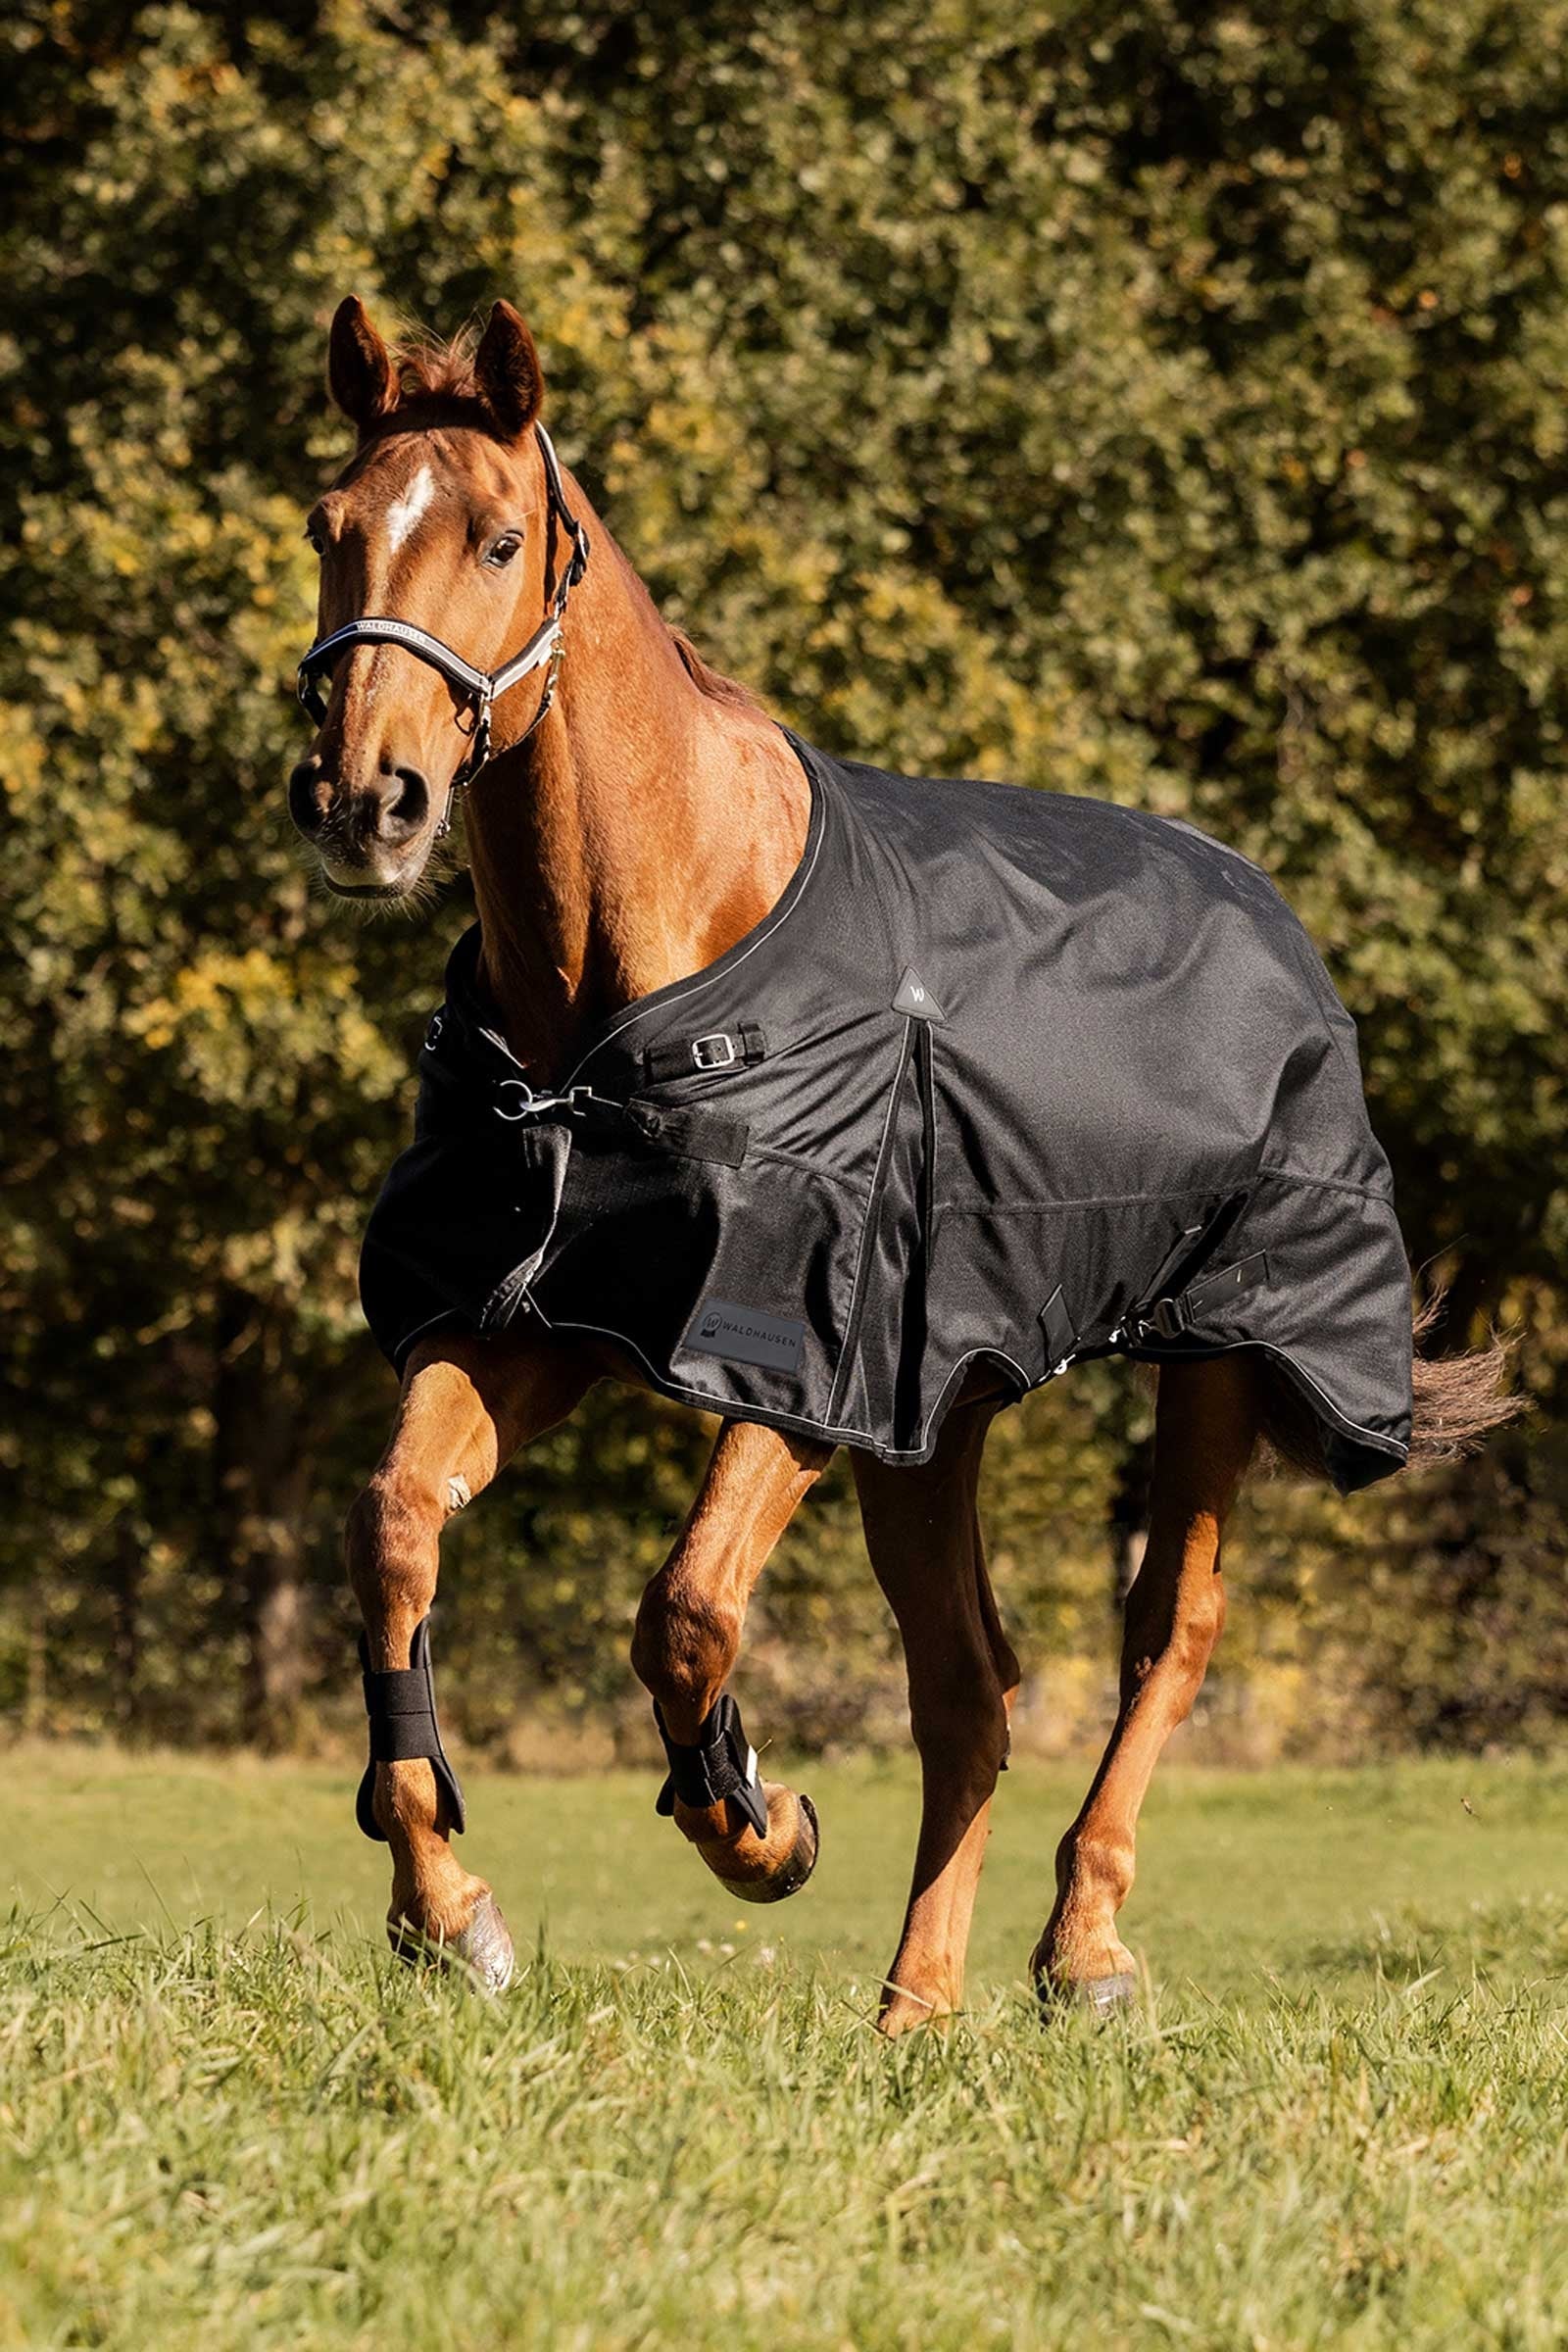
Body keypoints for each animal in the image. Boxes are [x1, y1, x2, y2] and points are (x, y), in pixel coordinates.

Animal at [288, 296, 1513, 2030]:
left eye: (500, 540)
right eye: (333, 528)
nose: (364, 802)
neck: (627, 990)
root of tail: (1268, 911)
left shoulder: (805, 1361)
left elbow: (686, 1614)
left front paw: (760, 1825)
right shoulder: (535, 1320)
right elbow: (394, 1526)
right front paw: (448, 1914)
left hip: (1212, 1357)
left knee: (1167, 1631)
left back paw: (1083, 1951)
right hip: (939, 1418)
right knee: (970, 1690)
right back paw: (915, 2007)